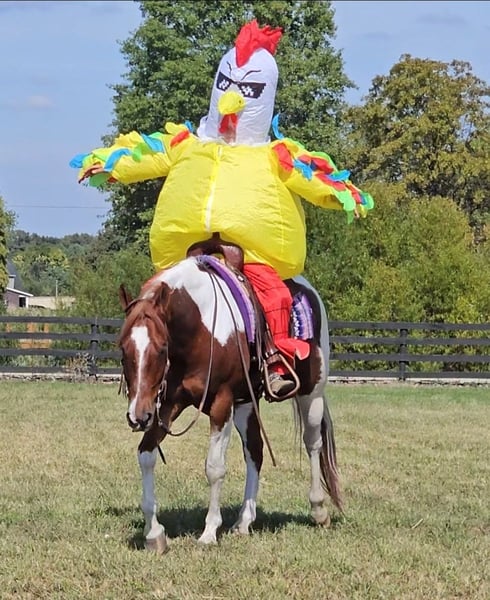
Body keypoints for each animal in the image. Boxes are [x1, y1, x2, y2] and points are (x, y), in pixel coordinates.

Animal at [118, 255, 343, 553]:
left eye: (162, 347)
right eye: (123, 349)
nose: (138, 416)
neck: (199, 328)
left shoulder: (221, 403)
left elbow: (214, 468)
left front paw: (209, 531)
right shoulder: (169, 404)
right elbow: (146, 454)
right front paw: (154, 533)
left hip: (312, 393)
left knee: (313, 443)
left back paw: (319, 510)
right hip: (246, 401)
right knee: (255, 451)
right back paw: (244, 522)